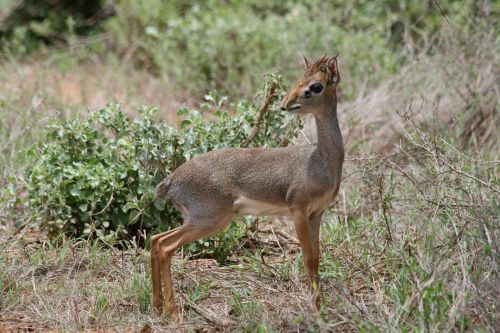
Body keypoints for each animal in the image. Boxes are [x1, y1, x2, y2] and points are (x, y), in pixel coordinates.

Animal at [150, 53, 344, 316]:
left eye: (315, 85)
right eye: (301, 81)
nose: (285, 104)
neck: (320, 160)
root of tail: (171, 181)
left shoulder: (317, 213)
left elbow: (316, 258)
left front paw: (320, 310)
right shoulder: (299, 211)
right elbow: (307, 258)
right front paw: (315, 312)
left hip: (197, 220)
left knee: (155, 240)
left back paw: (157, 306)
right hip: (209, 220)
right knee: (165, 247)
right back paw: (172, 314)